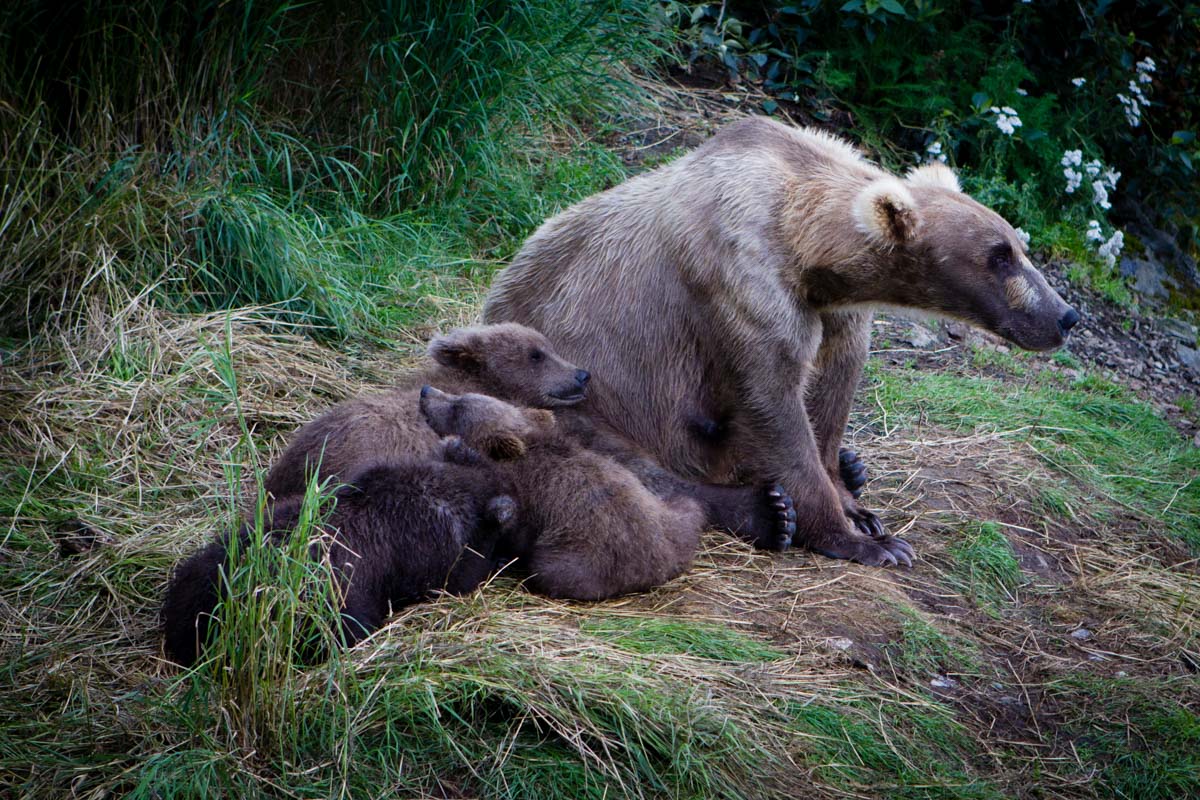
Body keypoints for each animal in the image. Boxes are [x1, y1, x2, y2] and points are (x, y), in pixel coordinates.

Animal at [415, 388, 796, 599]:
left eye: (459, 405)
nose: (425, 391)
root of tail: (654, 568)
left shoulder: (520, 496)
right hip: (671, 524)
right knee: (687, 507)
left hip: (575, 559)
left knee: (550, 571)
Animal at [482, 117, 1084, 568]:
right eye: (998, 256)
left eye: (1017, 246)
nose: (1065, 315)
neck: (807, 249)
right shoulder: (741, 285)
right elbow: (773, 404)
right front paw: (866, 541)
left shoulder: (837, 314)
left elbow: (829, 399)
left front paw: (858, 504)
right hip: (569, 381)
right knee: (612, 452)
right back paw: (766, 512)